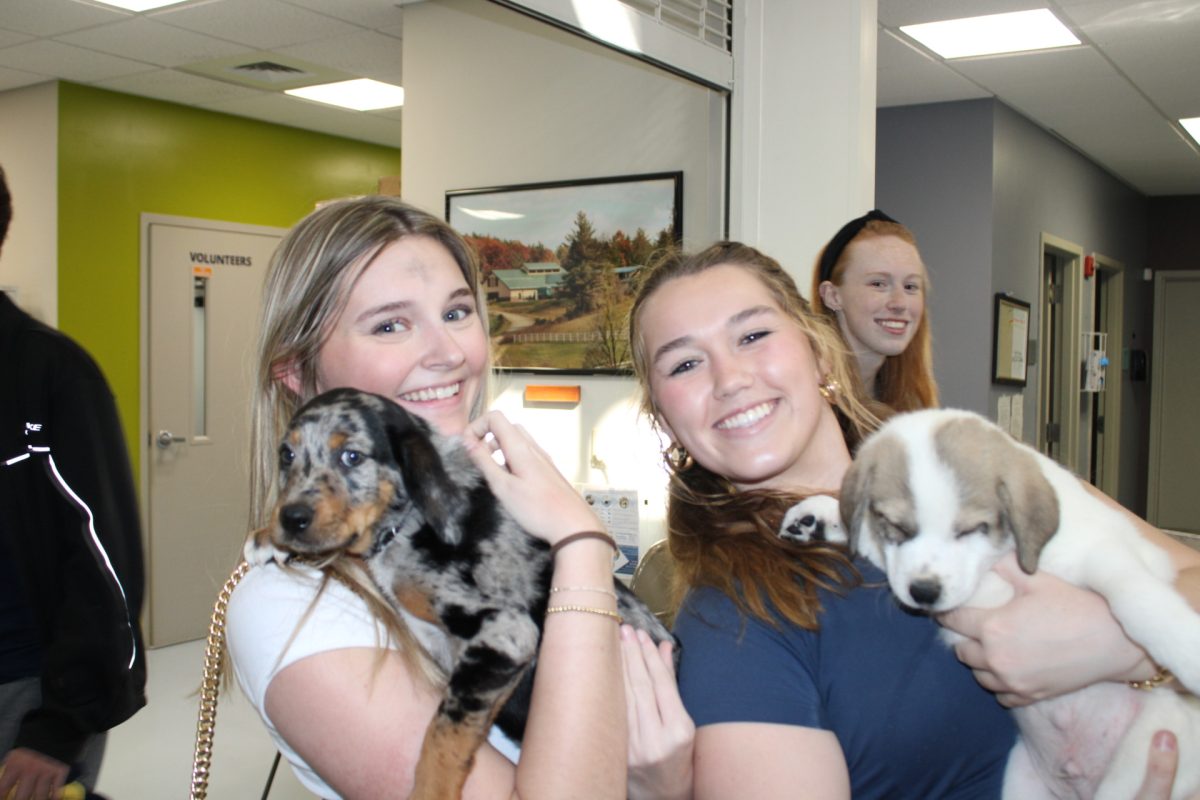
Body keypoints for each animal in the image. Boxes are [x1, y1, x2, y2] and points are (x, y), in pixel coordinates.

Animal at [835, 410, 1200, 800]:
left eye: (971, 529)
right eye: (896, 527)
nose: (924, 592)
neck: (996, 561)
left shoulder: (1097, 552)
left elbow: (1131, 594)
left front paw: (1184, 649)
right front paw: (822, 517)